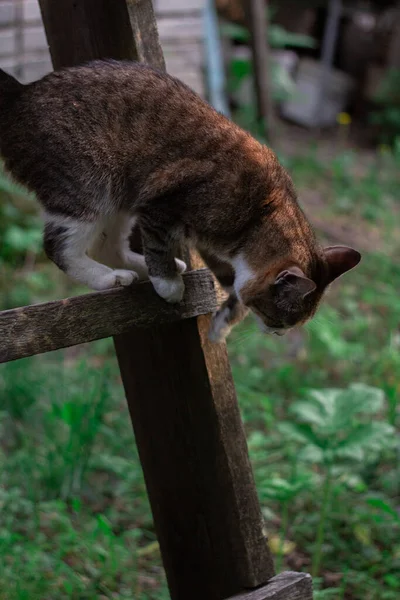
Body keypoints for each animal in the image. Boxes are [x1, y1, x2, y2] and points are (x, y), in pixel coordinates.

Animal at [0, 62, 360, 342]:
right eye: (280, 319)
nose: (279, 333)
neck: (262, 210)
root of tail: (22, 93)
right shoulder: (162, 204)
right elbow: (159, 246)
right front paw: (169, 285)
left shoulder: (217, 246)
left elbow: (230, 283)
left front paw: (223, 323)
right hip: (87, 186)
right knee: (58, 246)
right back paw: (109, 278)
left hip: (119, 197)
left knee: (107, 245)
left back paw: (134, 268)